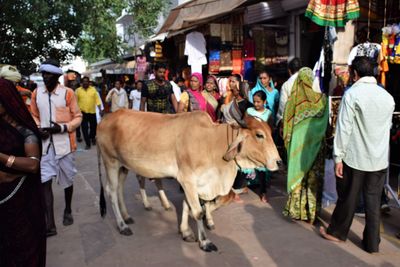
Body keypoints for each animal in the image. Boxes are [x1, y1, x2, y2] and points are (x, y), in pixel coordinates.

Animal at [96, 110, 282, 252]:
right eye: (259, 135)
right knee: (111, 192)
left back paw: (127, 217)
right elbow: (198, 211)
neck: (212, 143)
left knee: (119, 189)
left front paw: (185, 233)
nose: (279, 162)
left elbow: (187, 206)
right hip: (111, 162)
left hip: (123, 166)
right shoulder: (187, 180)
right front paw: (205, 242)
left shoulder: (195, 183)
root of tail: (105, 119)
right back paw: (122, 226)